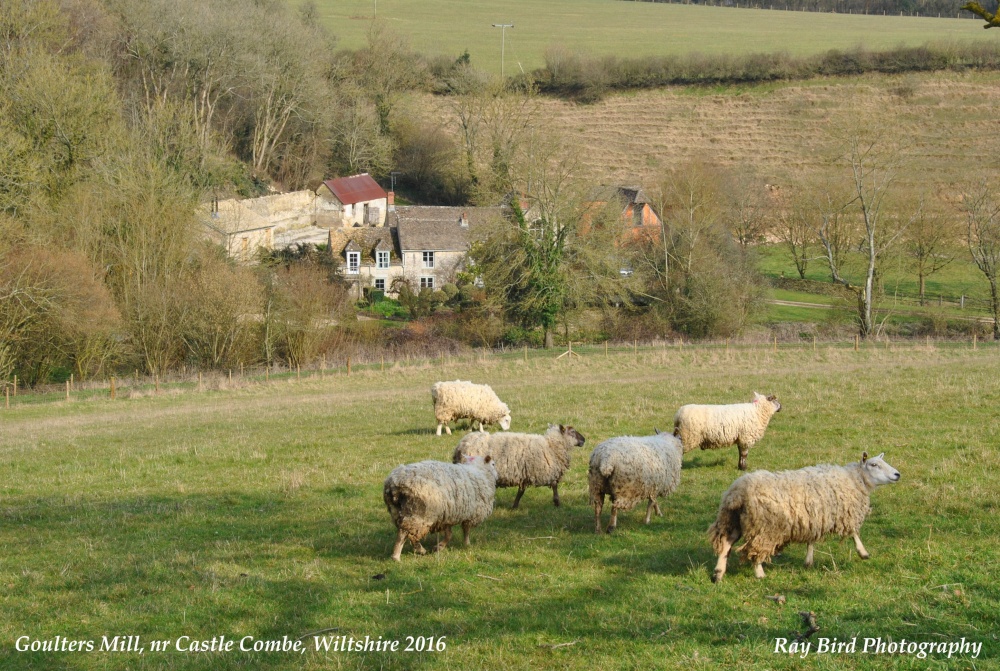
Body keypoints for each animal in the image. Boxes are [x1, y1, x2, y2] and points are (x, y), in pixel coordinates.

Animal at [452, 424, 585, 509]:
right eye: (572, 432)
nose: (584, 440)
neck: (551, 445)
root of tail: (460, 445)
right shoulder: (545, 470)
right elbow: (554, 485)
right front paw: (557, 503)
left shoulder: (524, 474)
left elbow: (521, 491)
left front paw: (515, 506)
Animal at [708, 452, 901, 582]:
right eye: (874, 465)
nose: (897, 474)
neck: (854, 479)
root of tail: (737, 493)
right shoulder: (844, 513)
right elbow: (854, 532)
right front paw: (863, 553)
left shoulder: (814, 517)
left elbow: (811, 541)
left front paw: (808, 561)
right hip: (766, 527)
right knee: (755, 549)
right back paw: (759, 573)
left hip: (733, 520)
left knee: (726, 543)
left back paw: (718, 573)